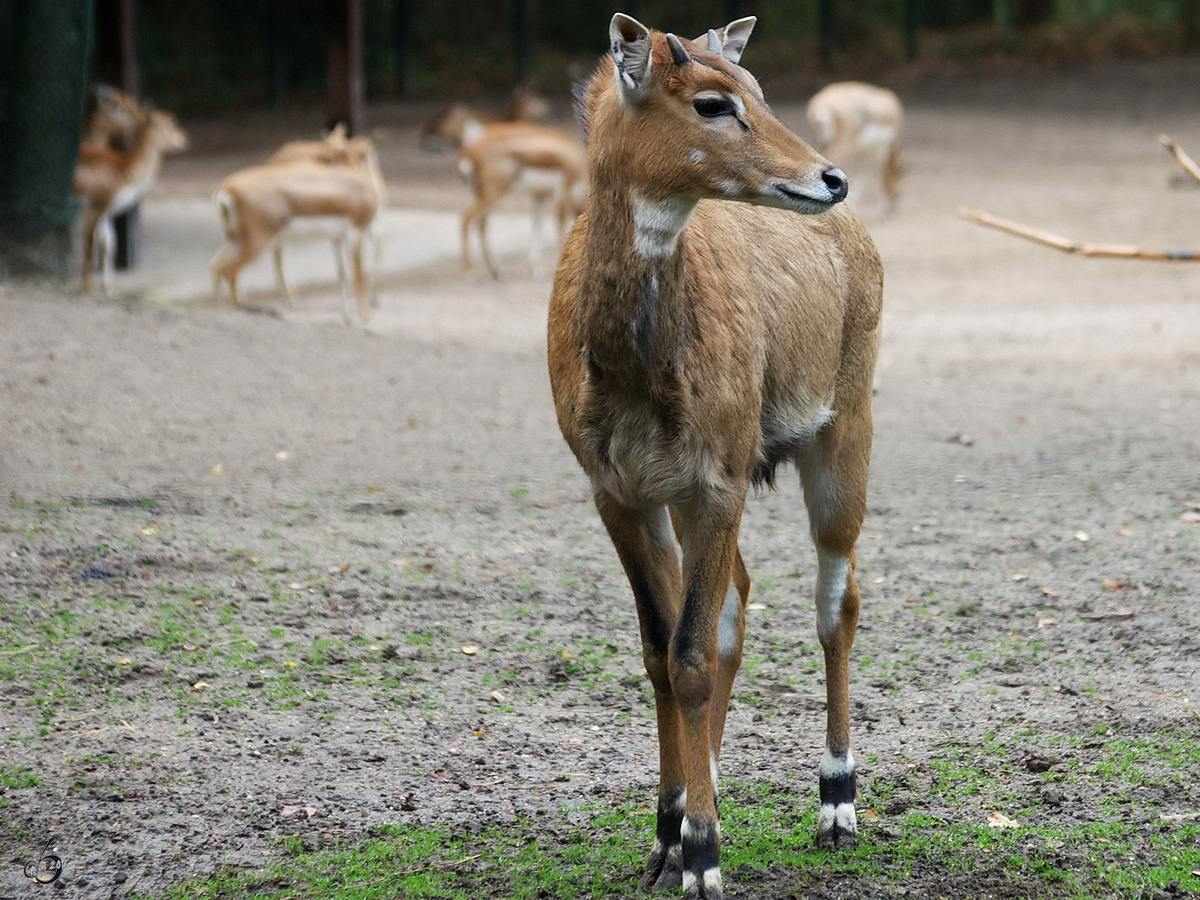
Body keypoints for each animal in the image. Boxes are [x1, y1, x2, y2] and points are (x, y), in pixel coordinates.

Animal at [72, 107, 187, 294]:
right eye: (169, 124)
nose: (183, 139)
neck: (122, 169)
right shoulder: (93, 208)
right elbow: (89, 245)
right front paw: (86, 287)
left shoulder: (106, 212)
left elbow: (108, 246)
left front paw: (109, 288)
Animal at [453, 121, 585, 278]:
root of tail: (469, 152)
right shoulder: (563, 191)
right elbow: (560, 225)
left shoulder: (539, 195)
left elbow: (537, 224)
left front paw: (536, 269)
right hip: (493, 195)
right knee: (466, 217)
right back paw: (469, 271)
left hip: (485, 195)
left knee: (481, 225)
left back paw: (496, 270)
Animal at [549, 15, 888, 900]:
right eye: (711, 102)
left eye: (758, 90)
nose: (829, 177)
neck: (633, 370)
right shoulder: (622, 492)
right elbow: (662, 653)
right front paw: (671, 833)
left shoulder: (718, 482)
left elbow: (694, 657)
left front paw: (701, 856)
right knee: (733, 605)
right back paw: (712, 794)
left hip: (845, 432)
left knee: (835, 602)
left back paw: (835, 803)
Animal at [806, 80, 902, 216]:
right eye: (900, 176)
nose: (894, 207)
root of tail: (822, 106)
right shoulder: (879, 151)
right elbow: (872, 173)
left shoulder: (862, 152)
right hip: (842, 146)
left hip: (822, 143)